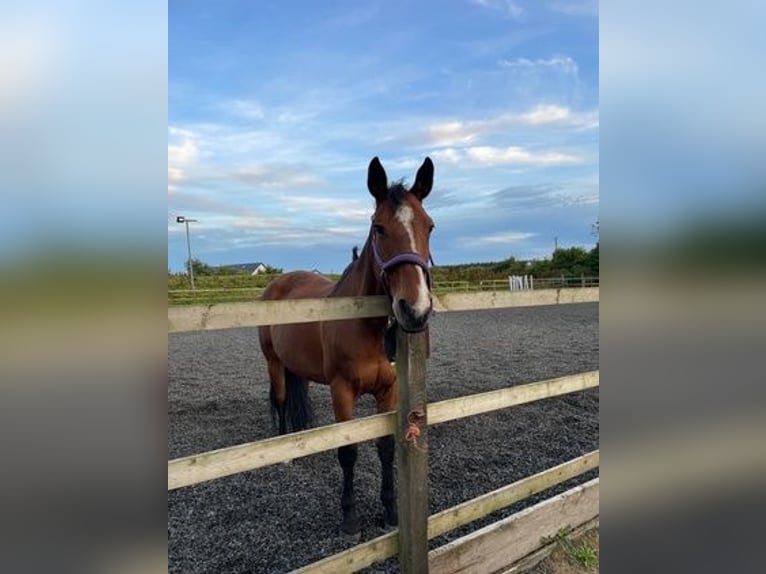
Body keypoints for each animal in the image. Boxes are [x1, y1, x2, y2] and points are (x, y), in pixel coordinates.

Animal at [260, 156, 436, 536]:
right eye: (379, 228)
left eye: (430, 227)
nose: (415, 310)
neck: (366, 325)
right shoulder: (342, 390)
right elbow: (349, 451)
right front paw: (350, 518)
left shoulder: (389, 390)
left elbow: (386, 447)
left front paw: (390, 512)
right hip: (273, 362)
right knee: (280, 401)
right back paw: (285, 452)